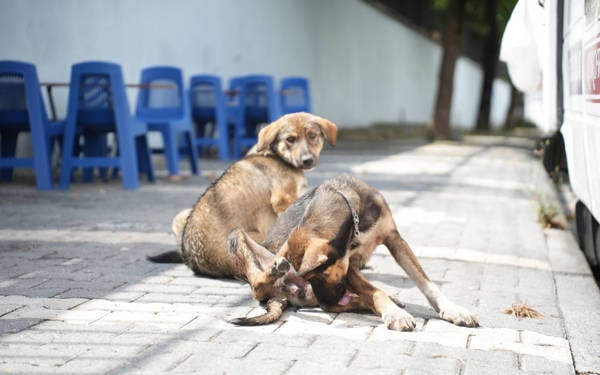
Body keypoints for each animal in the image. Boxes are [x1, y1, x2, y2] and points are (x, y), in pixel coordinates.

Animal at [149, 111, 338, 306]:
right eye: (290, 139)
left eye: (312, 136)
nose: (307, 160)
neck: (273, 155)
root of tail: (192, 259)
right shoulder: (283, 199)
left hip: (181, 216)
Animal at [229, 175, 478, 330]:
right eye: (312, 277)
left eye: (319, 274)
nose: (330, 299)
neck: (353, 213)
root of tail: (280, 295)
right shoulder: (349, 266)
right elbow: (375, 291)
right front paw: (394, 314)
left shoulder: (395, 240)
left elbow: (425, 282)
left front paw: (452, 309)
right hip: (240, 236)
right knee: (257, 285)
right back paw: (274, 270)